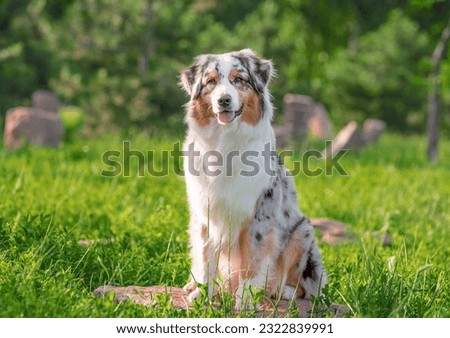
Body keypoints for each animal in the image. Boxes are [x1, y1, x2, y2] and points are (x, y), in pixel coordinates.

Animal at [180, 48, 326, 308]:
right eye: (211, 82)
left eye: (239, 79)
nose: (224, 100)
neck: (225, 142)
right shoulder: (204, 214)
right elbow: (205, 257)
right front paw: (203, 293)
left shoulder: (259, 215)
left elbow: (252, 260)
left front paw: (245, 299)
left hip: (303, 231)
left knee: (307, 287)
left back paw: (283, 291)